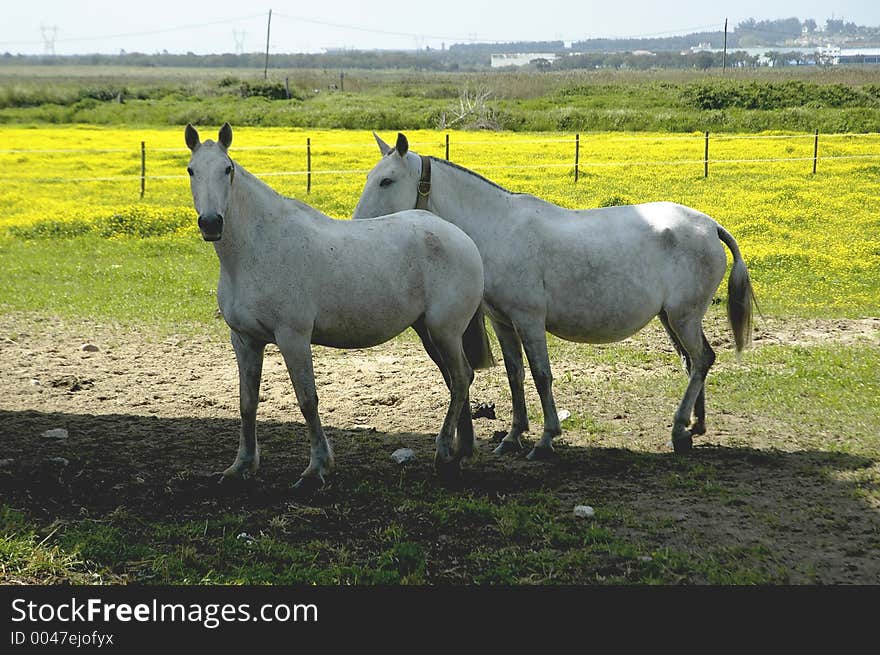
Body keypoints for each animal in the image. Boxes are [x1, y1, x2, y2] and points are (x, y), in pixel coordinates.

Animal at [186, 124, 488, 492]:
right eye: (191, 170)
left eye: (227, 169)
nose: (211, 223)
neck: (256, 249)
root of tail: (461, 237)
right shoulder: (244, 340)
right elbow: (247, 403)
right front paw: (241, 466)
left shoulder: (293, 338)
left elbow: (307, 400)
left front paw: (317, 468)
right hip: (431, 332)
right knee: (457, 379)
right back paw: (461, 450)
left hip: (444, 331)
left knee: (460, 378)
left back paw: (444, 453)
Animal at [350, 134, 756, 462]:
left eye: (386, 180)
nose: (356, 224)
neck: (499, 230)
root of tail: (710, 226)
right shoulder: (502, 322)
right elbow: (515, 375)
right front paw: (513, 437)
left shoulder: (529, 319)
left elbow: (541, 374)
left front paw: (545, 440)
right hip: (672, 318)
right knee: (695, 362)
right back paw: (693, 428)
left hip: (684, 317)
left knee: (701, 359)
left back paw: (678, 428)